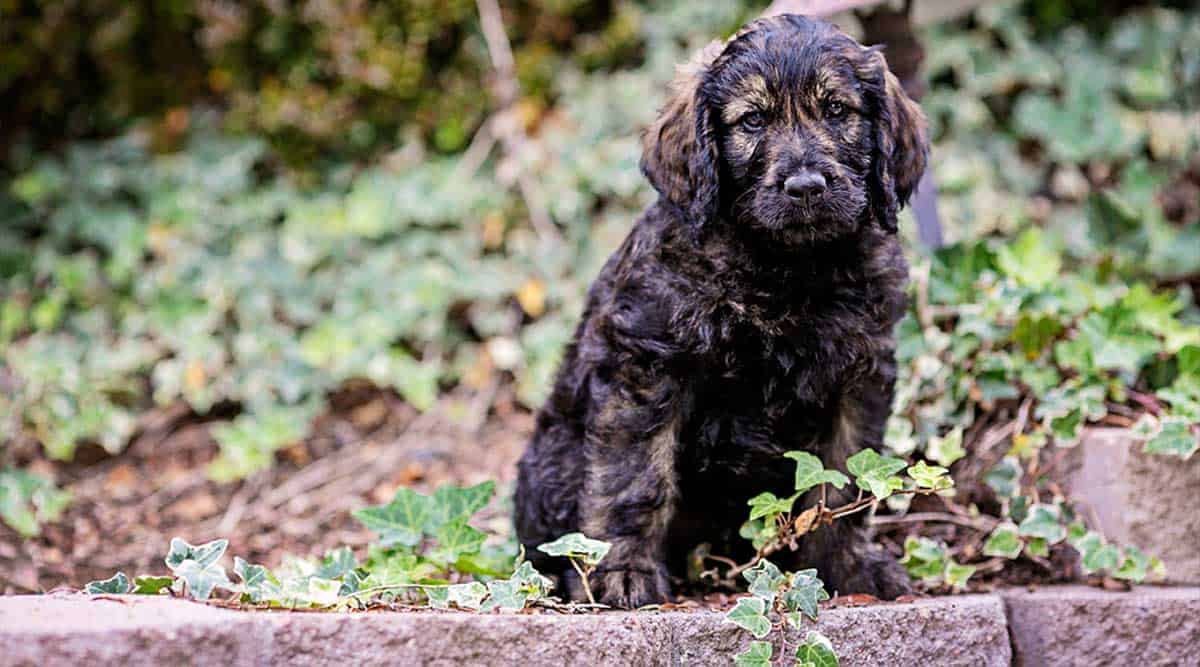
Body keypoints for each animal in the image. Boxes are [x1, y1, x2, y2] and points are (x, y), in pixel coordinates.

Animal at [513, 14, 926, 609]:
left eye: (837, 111)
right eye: (752, 120)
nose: (806, 186)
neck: (786, 267)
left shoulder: (860, 375)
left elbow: (842, 479)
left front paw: (849, 564)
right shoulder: (647, 364)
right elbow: (633, 475)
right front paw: (624, 571)